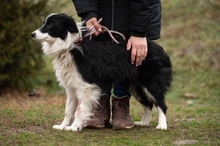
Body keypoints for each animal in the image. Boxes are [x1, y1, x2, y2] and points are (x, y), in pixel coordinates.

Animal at [31, 12, 172, 131]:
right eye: (44, 23)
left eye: (50, 25)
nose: (32, 34)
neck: (69, 46)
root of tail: (161, 50)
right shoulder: (71, 87)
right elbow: (68, 109)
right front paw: (62, 126)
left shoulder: (85, 87)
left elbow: (79, 110)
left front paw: (74, 127)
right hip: (136, 86)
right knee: (148, 104)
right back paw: (143, 122)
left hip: (151, 83)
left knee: (161, 104)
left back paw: (162, 126)